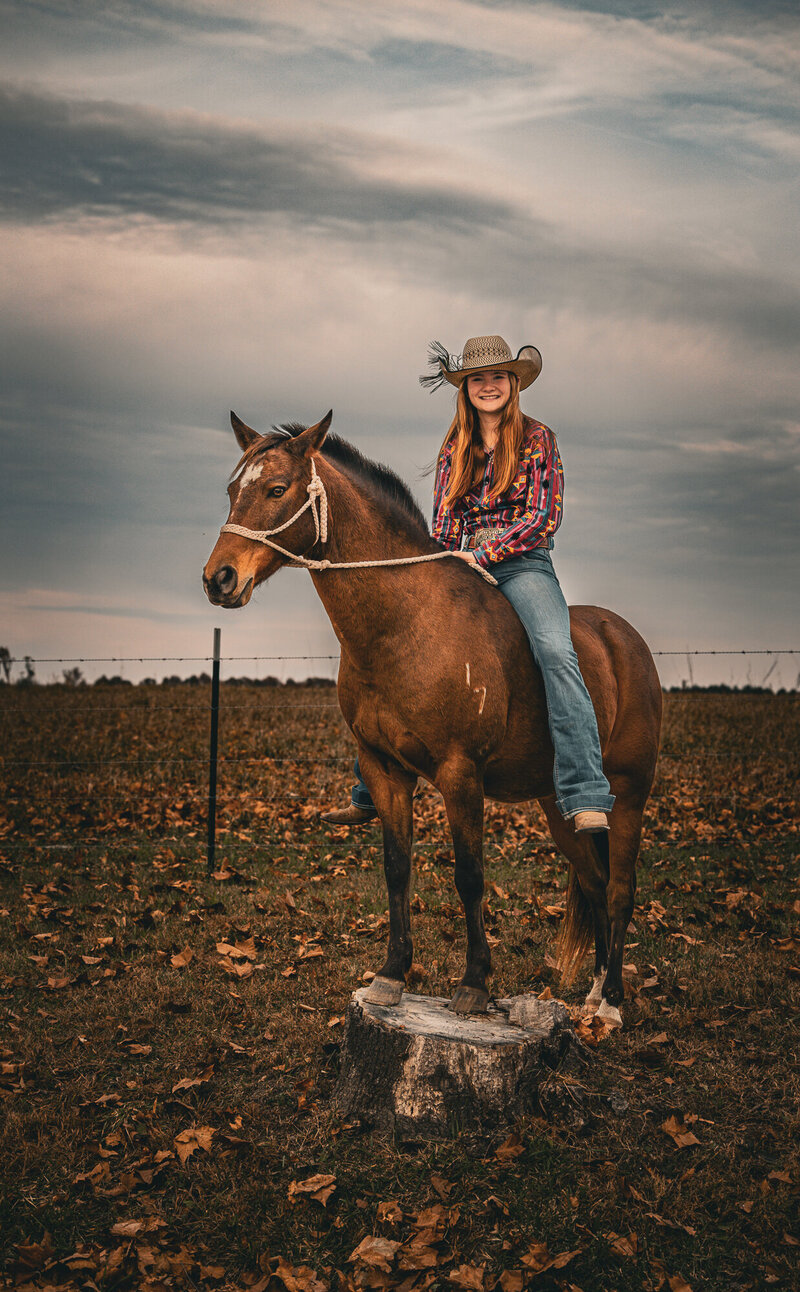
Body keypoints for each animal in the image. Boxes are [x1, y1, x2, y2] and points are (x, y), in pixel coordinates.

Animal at [201, 408, 661, 1023]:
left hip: (628, 794)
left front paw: (474, 984)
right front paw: (391, 974)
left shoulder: (459, 773)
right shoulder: (385, 770)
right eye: (233, 491)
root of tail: (625, 639)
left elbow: (469, 876)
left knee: (619, 890)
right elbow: (397, 868)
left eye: (276, 488)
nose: (219, 578)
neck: (406, 623)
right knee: (592, 882)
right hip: (557, 804)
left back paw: (610, 1005)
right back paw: (590, 995)